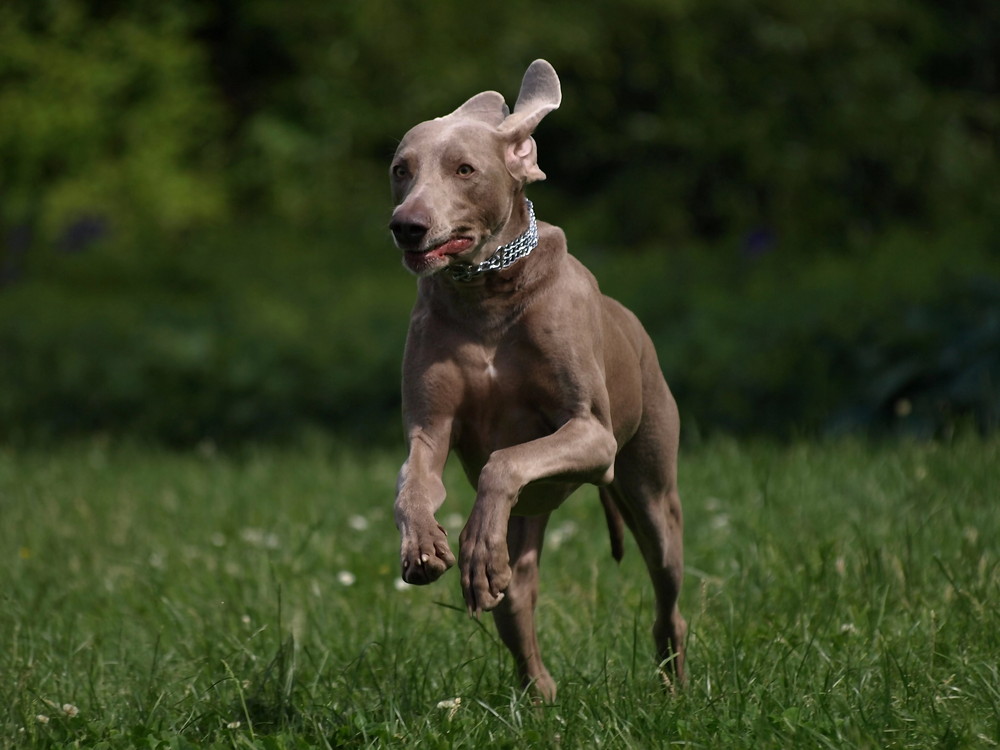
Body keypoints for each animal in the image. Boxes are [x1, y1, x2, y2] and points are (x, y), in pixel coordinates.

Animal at [386, 60, 684, 704]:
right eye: (401, 169)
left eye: (465, 169)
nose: (406, 227)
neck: (487, 296)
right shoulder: (429, 429)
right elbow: (413, 482)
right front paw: (425, 543)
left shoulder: (592, 436)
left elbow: (503, 462)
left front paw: (471, 545)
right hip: (530, 520)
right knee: (514, 594)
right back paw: (539, 693)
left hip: (651, 491)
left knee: (667, 595)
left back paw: (674, 683)